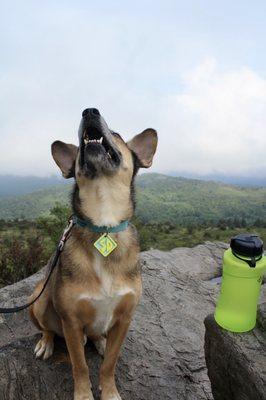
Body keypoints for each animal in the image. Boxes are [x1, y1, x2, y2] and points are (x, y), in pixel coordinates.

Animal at [29, 108, 158, 398]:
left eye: (117, 134)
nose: (89, 111)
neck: (103, 224)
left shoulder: (124, 319)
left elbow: (109, 364)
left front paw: (109, 392)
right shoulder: (71, 323)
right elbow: (80, 366)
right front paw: (83, 394)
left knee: (99, 336)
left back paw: (99, 341)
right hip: (39, 300)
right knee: (48, 329)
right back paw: (46, 343)